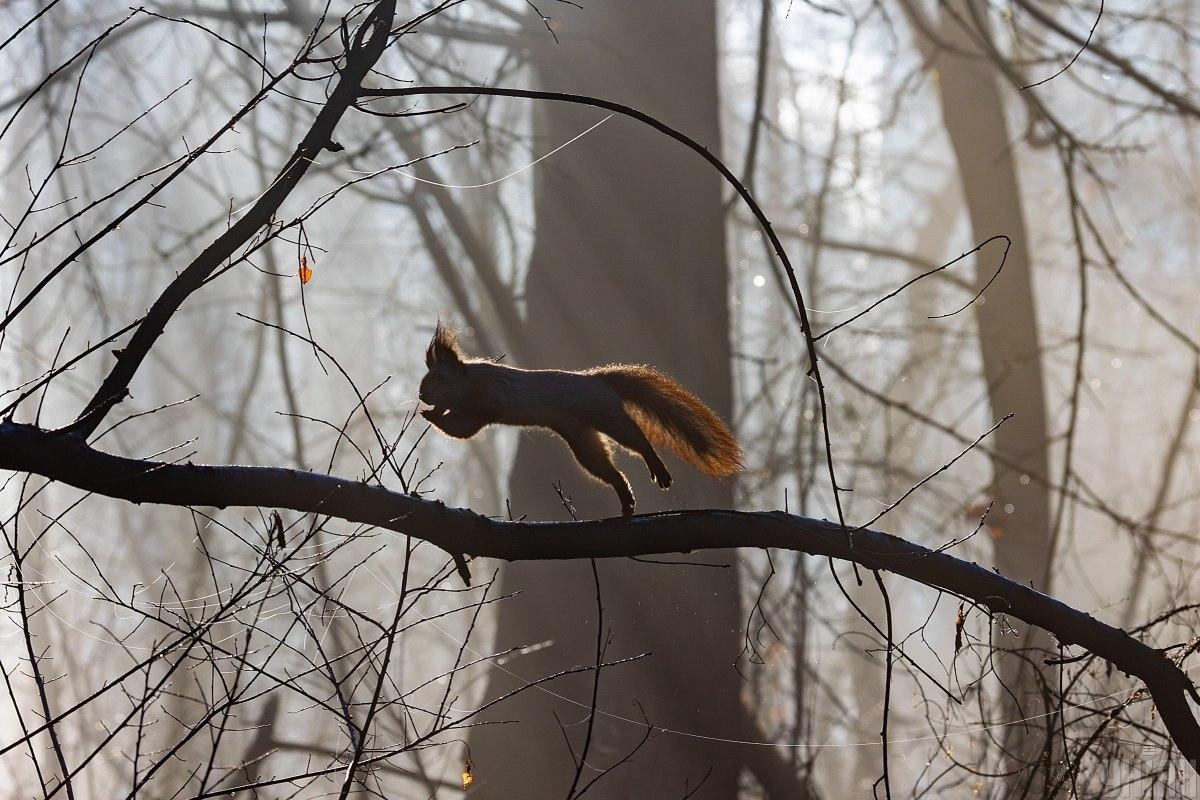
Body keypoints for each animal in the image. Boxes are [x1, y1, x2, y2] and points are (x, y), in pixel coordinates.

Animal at [420, 326, 739, 520]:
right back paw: (626, 500)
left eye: (441, 377)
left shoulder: (490, 398)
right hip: (583, 439)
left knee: (638, 442)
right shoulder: (472, 418)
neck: (469, 385)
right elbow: (461, 430)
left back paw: (658, 471)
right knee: (610, 471)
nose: (421, 394)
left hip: (608, 416)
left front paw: (433, 412)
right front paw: (432, 413)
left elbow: (468, 422)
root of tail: (598, 379)